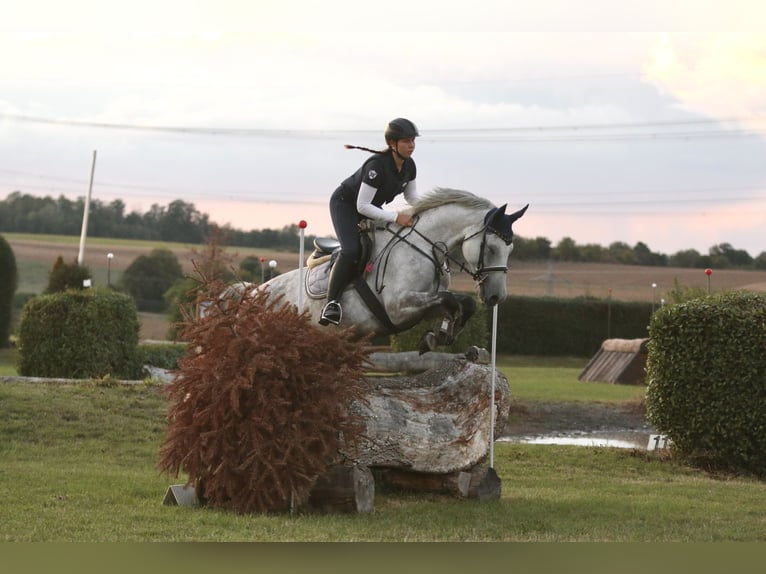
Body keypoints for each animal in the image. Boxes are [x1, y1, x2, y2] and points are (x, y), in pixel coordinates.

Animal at [255, 188, 528, 350]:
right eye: (491, 248)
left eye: (511, 250)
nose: (496, 296)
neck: (426, 247)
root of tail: (258, 290)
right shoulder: (398, 307)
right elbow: (449, 299)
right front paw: (438, 336)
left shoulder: (423, 305)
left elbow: (460, 303)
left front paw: (439, 335)